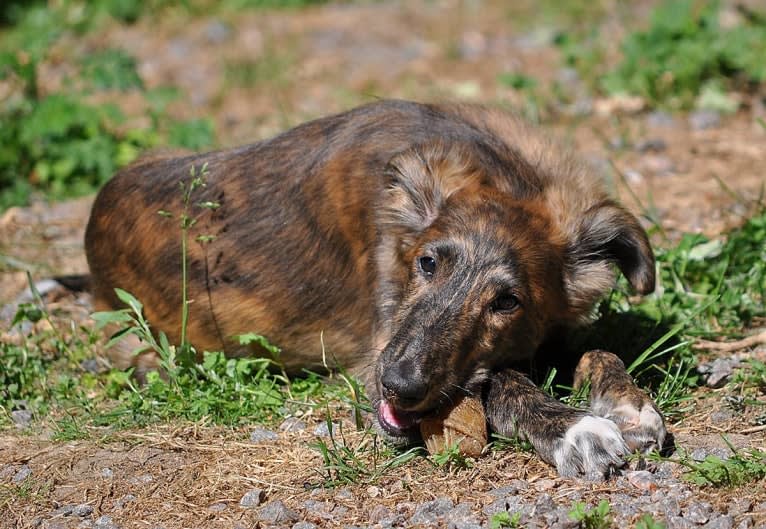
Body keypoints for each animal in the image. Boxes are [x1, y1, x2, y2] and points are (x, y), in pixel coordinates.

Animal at [84, 99, 668, 478]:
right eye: (427, 263)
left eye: (508, 301)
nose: (399, 387)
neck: (501, 172)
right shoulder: (376, 356)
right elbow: (502, 381)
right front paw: (575, 428)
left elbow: (598, 348)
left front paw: (629, 403)